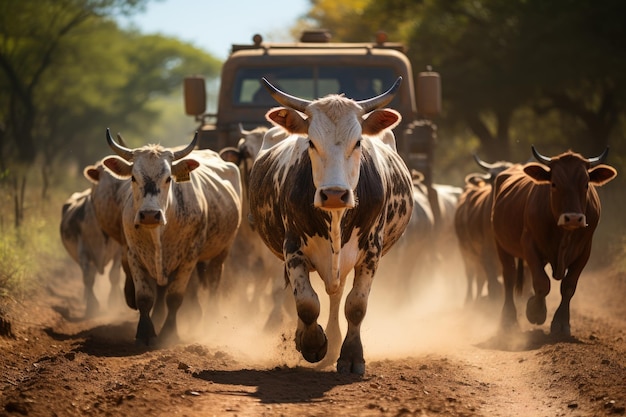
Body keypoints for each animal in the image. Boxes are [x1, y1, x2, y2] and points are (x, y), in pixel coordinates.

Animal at [61, 187, 123, 316]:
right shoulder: (83, 252)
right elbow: (88, 278)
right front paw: (91, 306)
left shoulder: (119, 250)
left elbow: (114, 275)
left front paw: (114, 302)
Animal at [101, 130, 240, 344]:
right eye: (133, 177)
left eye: (168, 178)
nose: (150, 214)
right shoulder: (134, 254)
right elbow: (144, 297)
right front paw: (145, 332)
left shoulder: (189, 257)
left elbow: (175, 297)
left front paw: (169, 332)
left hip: (222, 251)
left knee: (214, 282)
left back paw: (210, 317)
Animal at [246, 75, 412, 374]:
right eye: (311, 142)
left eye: (358, 142)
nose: (334, 194)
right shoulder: (293, 248)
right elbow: (306, 303)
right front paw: (312, 343)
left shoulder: (371, 252)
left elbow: (355, 305)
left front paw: (351, 356)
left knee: (337, 296)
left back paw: (334, 343)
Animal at [454, 154, 512, 304]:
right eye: (493, 179)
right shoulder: (486, 254)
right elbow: (493, 284)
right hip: (466, 252)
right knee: (472, 276)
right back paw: (470, 300)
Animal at [492, 146, 616, 334]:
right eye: (554, 184)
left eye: (586, 184)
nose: (573, 218)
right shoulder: (529, 244)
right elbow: (542, 283)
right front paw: (535, 311)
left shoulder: (584, 251)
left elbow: (568, 286)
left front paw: (561, 323)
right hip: (502, 245)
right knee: (509, 277)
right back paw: (508, 319)